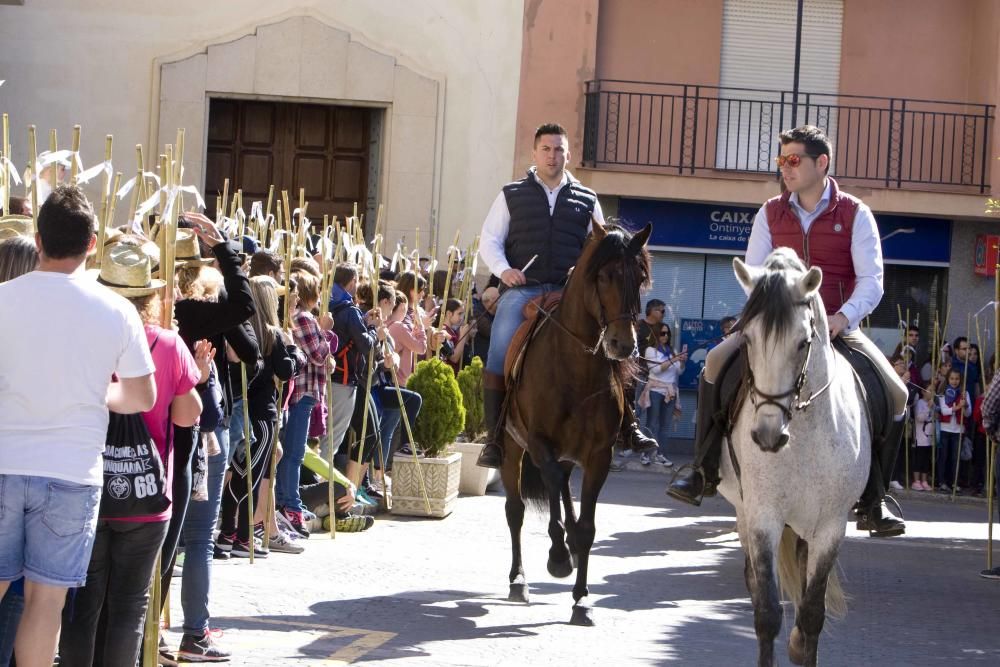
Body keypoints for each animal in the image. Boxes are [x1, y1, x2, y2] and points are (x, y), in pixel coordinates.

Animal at [498, 220, 648, 628]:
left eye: (641, 277)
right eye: (605, 276)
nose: (623, 344)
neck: (575, 370)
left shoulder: (599, 456)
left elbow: (587, 527)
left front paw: (581, 598)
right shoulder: (539, 444)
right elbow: (548, 500)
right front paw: (558, 557)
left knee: (564, 491)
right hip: (512, 449)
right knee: (516, 510)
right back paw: (519, 579)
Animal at [716, 249, 872, 667]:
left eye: (803, 343)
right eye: (747, 338)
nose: (768, 435)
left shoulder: (832, 526)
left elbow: (812, 615)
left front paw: (803, 647)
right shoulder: (763, 518)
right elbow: (768, 612)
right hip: (746, 513)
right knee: (755, 580)